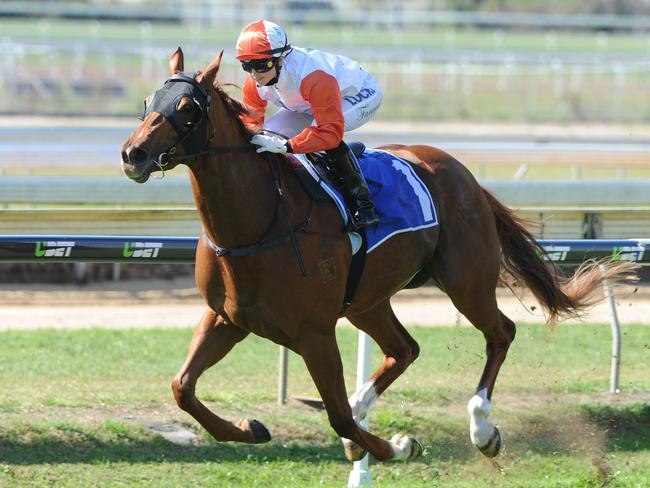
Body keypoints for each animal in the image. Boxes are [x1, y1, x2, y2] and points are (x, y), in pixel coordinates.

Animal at [119, 47, 632, 464]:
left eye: (187, 109)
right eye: (147, 103)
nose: (133, 154)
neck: (259, 222)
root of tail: (464, 175)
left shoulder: (315, 333)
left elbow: (338, 417)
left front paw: (399, 446)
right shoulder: (226, 318)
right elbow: (183, 388)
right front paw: (252, 427)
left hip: (465, 281)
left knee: (499, 333)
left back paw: (481, 429)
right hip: (366, 300)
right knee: (404, 349)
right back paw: (371, 403)